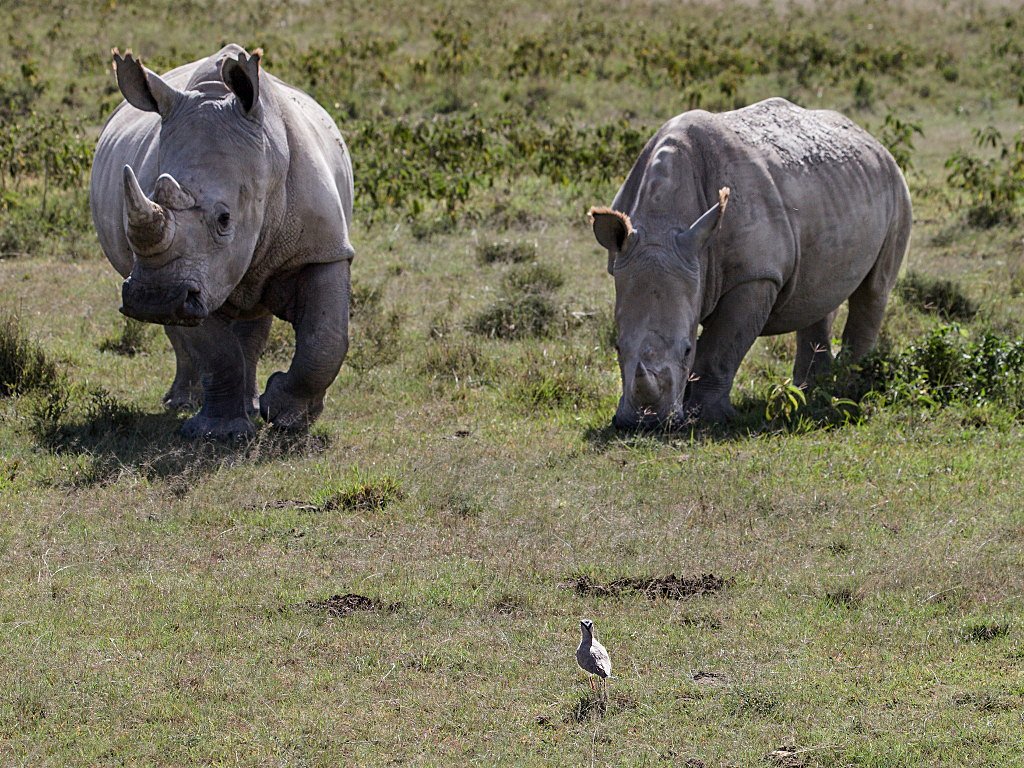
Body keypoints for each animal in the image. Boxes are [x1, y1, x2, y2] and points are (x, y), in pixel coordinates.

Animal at [92, 45, 356, 438]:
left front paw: (286, 416)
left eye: (224, 218)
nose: (154, 299)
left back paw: (252, 405)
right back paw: (183, 403)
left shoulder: (323, 250)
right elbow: (215, 351)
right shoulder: (194, 279)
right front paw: (218, 434)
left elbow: (325, 339)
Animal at [593, 96, 913, 430]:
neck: (663, 223)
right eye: (617, 347)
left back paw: (847, 388)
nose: (646, 423)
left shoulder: (755, 276)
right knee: (819, 294)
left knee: (874, 289)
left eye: (686, 350)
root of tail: (870, 138)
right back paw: (814, 390)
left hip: (896, 187)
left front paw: (708, 417)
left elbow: (721, 348)